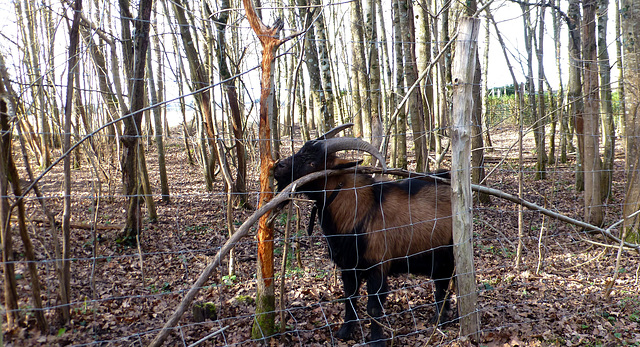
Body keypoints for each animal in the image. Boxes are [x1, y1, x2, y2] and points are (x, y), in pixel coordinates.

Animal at [276, 125, 456, 347]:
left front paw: (376, 341)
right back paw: (439, 319)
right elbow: (349, 299)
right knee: (442, 283)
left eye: (311, 162)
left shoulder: (377, 266)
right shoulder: (348, 267)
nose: (278, 167)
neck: (360, 208)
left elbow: (374, 307)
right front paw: (344, 332)